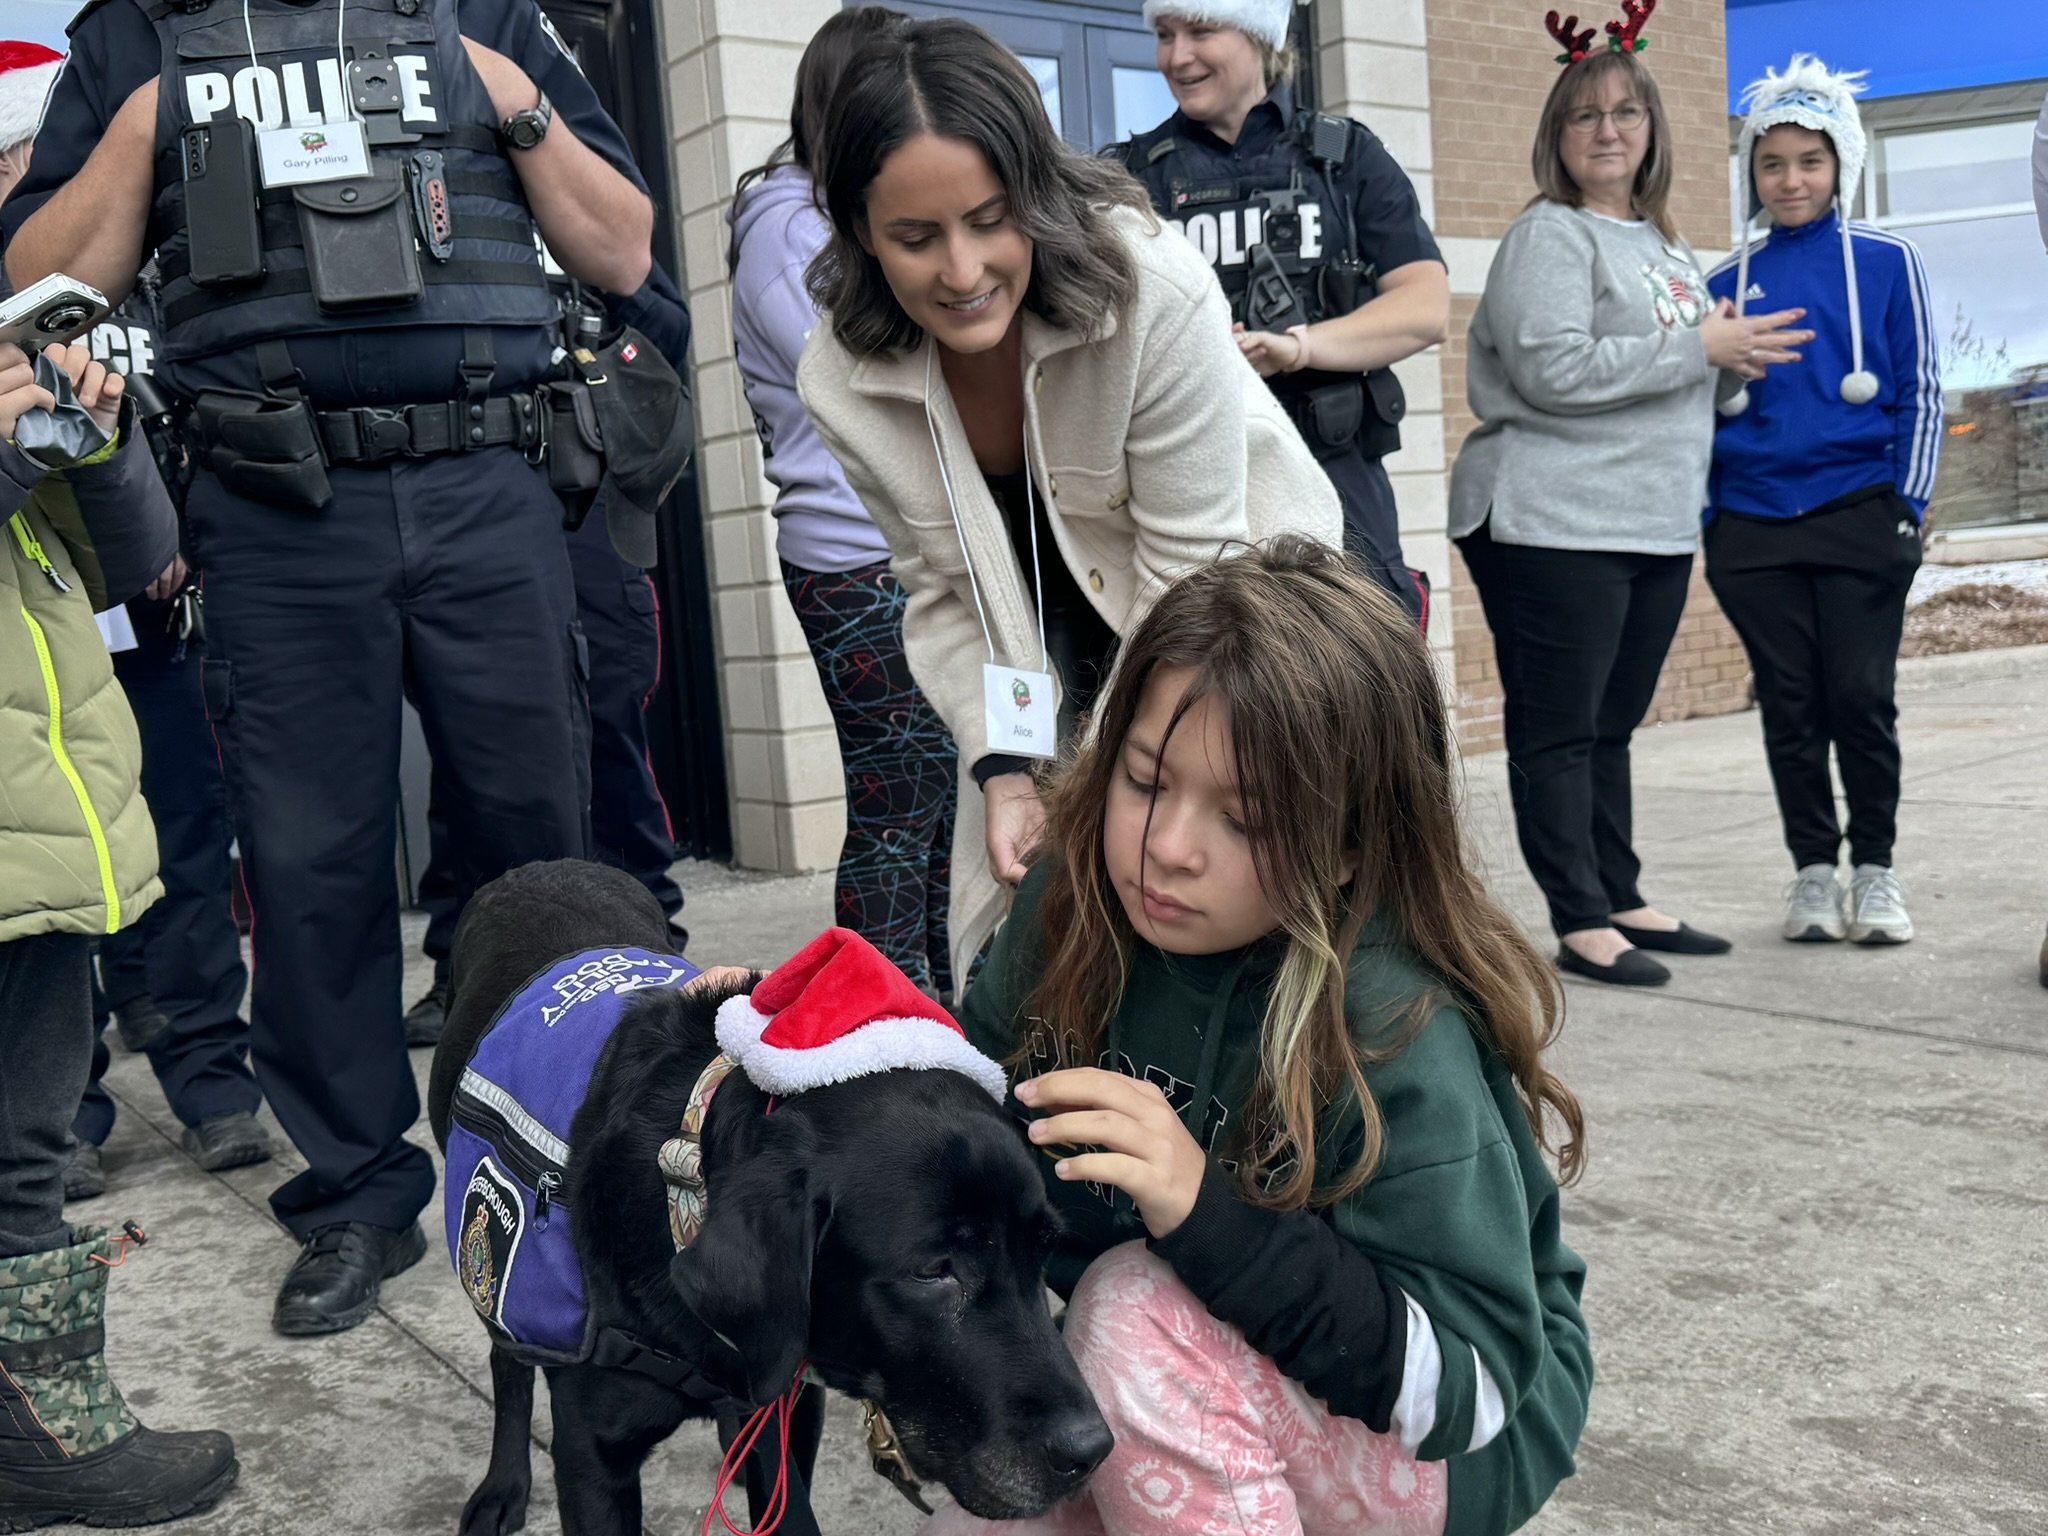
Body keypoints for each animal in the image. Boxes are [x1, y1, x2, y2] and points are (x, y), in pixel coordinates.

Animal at [423, 868, 1114, 1536]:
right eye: (933, 1271)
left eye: (1043, 1251)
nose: (1093, 1451)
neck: (679, 1188)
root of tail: (537, 869)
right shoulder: (592, 1458)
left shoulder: (792, 1411)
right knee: (506, 1359)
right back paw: (503, 1486)